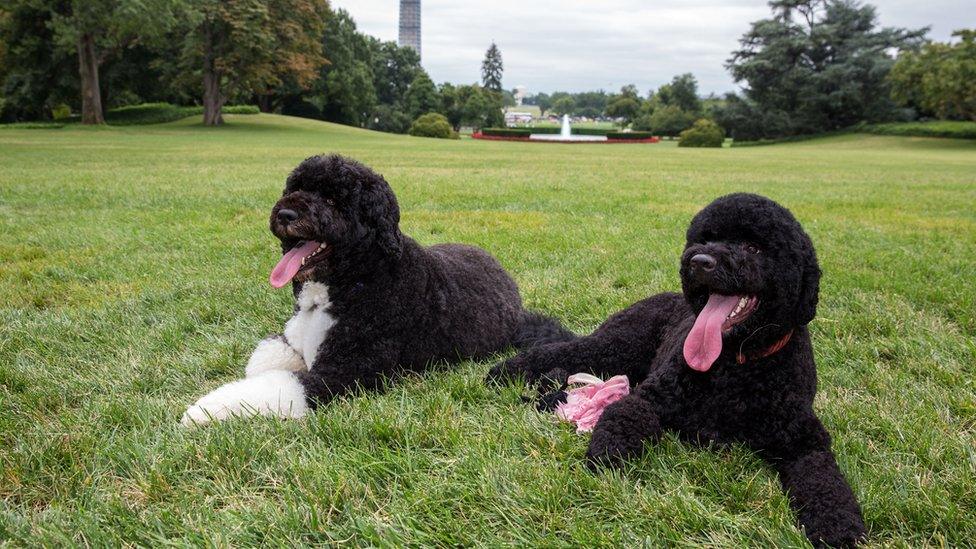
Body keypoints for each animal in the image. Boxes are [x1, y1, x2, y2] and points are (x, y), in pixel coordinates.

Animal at [183, 154, 572, 424]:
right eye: (296, 188)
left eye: (333, 201)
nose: (286, 215)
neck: (352, 280)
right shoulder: (293, 339)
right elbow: (265, 360)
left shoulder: (346, 372)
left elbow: (279, 384)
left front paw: (203, 410)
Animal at [492, 194, 864, 548]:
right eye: (706, 238)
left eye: (753, 247)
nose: (700, 262)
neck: (735, 364)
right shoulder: (651, 397)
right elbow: (625, 414)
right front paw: (609, 453)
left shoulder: (804, 439)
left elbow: (824, 480)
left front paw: (838, 525)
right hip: (615, 346)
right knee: (563, 350)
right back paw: (503, 372)